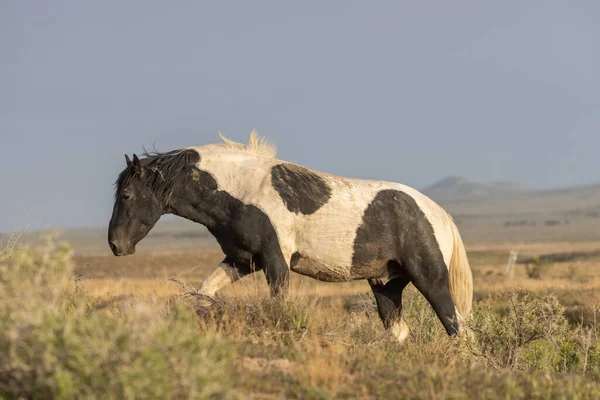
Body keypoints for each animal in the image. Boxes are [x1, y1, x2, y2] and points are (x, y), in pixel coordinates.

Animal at [109, 130, 474, 340]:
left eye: (126, 195)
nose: (115, 245)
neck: (241, 192)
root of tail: (440, 215)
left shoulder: (275, 261)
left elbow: (278, 307)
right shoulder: (241, 260)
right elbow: (204, 292)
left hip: (429, 278)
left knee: (457, 326)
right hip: (386, 284)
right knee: (400, 332)